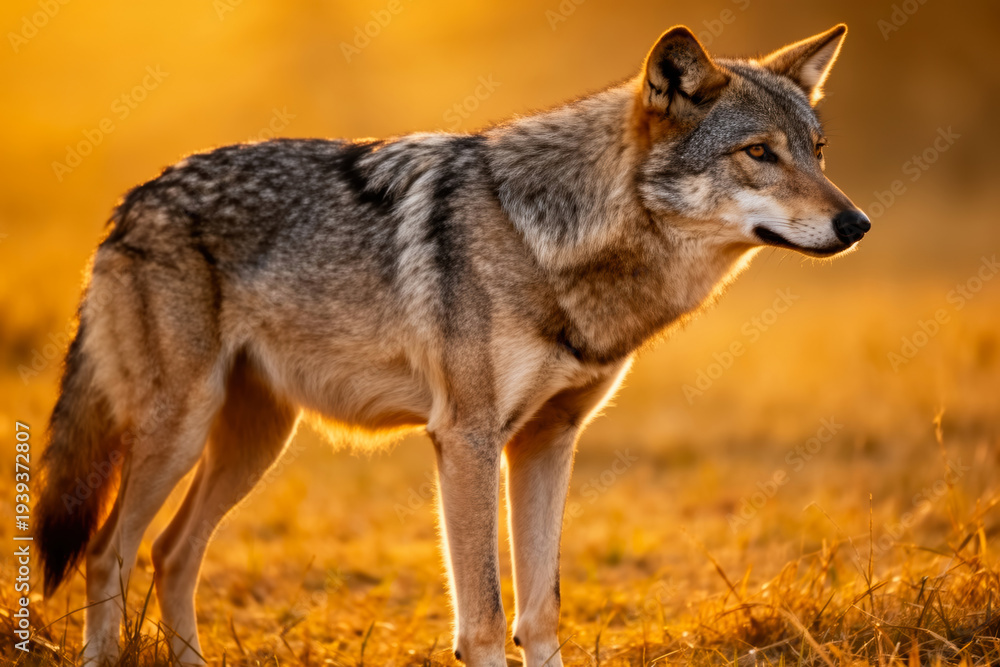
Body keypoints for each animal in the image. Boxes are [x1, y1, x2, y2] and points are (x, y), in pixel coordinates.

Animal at [35, 23, 868, 667]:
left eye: (818, 149)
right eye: (759, 152)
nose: (857, 223)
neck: (546, 241)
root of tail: (130, 203)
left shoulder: (546, 441)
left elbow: (541, 610)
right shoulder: (466, 438)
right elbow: (487, 618)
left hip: (255, 442)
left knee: (173, 552)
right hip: (179, 432)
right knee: (107, 550)